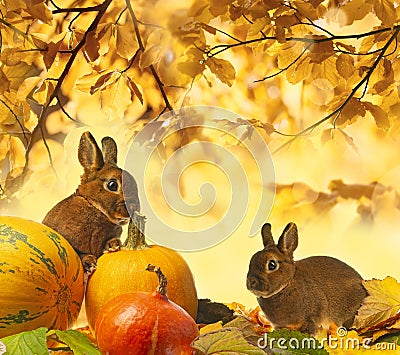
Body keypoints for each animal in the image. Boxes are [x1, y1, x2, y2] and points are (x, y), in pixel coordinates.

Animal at [43, 132, 141, 274]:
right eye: (112, 185)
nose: (133, 208)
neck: (93, 206)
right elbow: (78, 254)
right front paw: (89, 262)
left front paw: (113, 245)